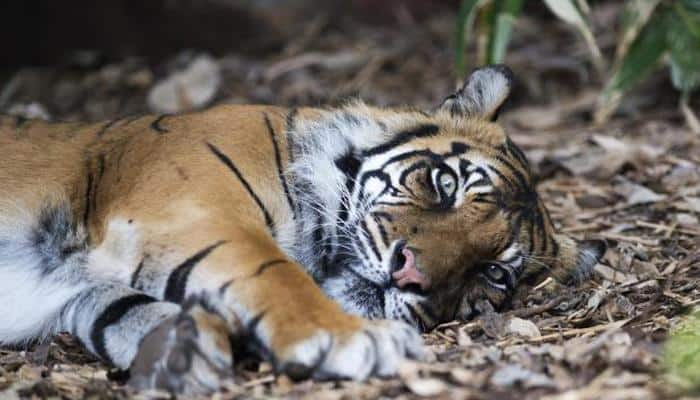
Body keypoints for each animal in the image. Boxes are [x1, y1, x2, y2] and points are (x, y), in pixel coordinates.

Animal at [0, 65, 600, 394]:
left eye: (494, 273)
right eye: (444, 183)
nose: (410, 277)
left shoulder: (76, 286)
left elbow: (111, 307)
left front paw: (180, 349)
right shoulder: (192, 206)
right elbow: (274, 271)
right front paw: (351, 338)